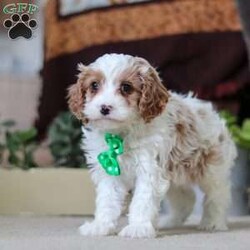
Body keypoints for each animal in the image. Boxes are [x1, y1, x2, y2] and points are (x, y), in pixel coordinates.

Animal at [68, 53, 236, 238]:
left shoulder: (149, 169)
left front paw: (138, 227)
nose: (105, 107)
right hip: (176, 171)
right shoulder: (109, 170)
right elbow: (107, 200)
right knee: (186, 197)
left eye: (126, 87)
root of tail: (213, 113)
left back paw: (213, 222)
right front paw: (100, 226)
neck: (122, 134)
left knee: (218, 195)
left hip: (211, 169)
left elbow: (142, 201)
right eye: (94, 85)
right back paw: (171, 222)